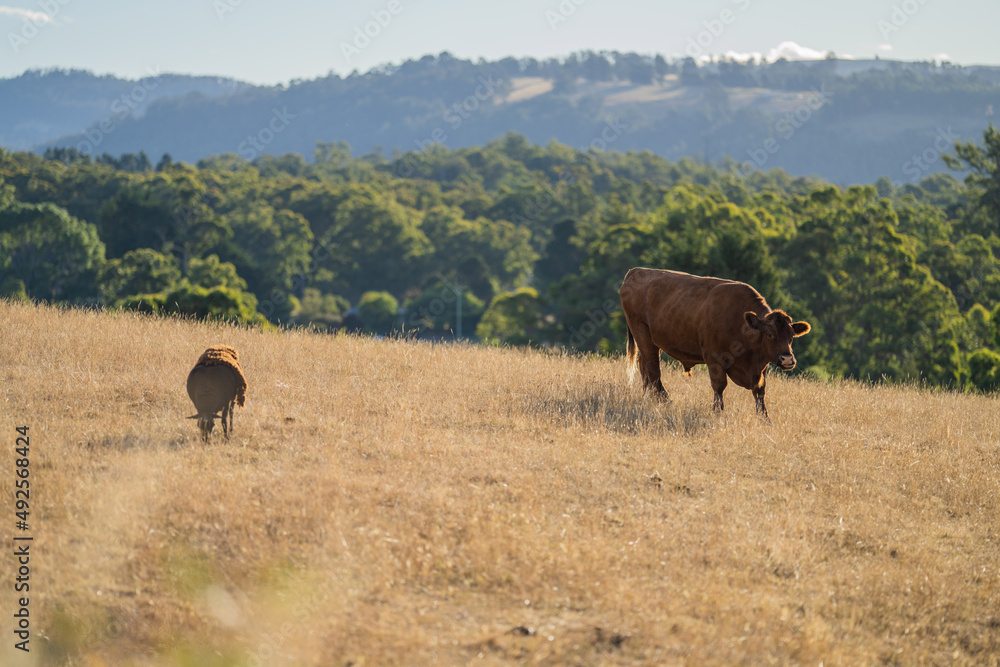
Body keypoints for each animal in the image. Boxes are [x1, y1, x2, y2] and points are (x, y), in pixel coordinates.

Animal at [616, 264, 812, 418]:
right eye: (770, 334)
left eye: (791, 336)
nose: (787, 359)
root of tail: (635, 272)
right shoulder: (714, 360)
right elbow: (719, 386)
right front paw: (718, 412)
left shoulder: (761, 367)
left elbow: (760, 391)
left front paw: (764, 418)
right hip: (642, 334)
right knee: (653, 370)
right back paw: (666, 401)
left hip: (648, 342)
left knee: (644, 367)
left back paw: (646, 398)